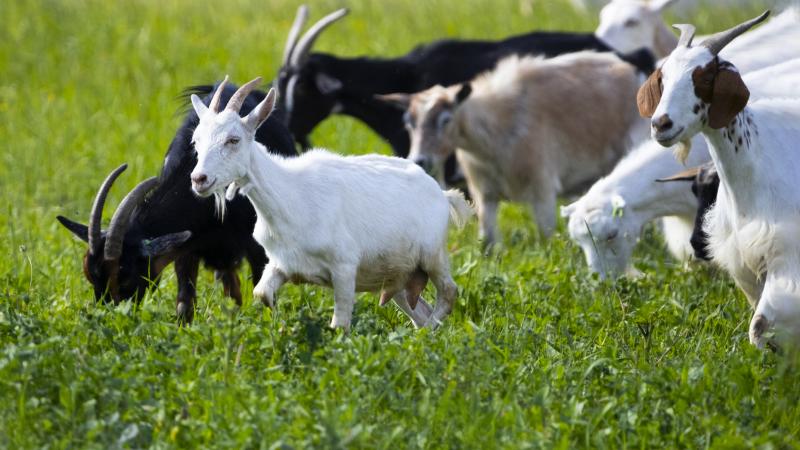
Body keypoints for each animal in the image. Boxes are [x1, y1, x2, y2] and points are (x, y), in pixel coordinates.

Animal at [57, 81, 296, 323]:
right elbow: (184, 304)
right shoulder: (187, 247)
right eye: (89, 275)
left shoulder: (258, 247)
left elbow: (264, 296)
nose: (109, 317)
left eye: (124, 275)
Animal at [188, 78, 473, 329]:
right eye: (196, 140)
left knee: (449, 293)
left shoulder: (344, 267)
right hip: (397, 276)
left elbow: (340, 324)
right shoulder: (281, 264)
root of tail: (441, 194)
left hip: (432, 255)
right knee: (419, 310)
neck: (289, 196)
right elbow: (262, 294)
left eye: (233, 140)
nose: (199, 179)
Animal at [384, 52, 647, 246]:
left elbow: (546, 236)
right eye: (409, 122)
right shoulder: (485, 193)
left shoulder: (542, 187)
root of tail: (627, 69)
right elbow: (487, 243)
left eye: (446, 120)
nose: (419, 160)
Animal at [638, 11, 800, 348]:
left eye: (704, 77)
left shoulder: (786, 254)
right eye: (662, 78)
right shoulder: (747, 262)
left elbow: (759, 327)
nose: (661, 124)